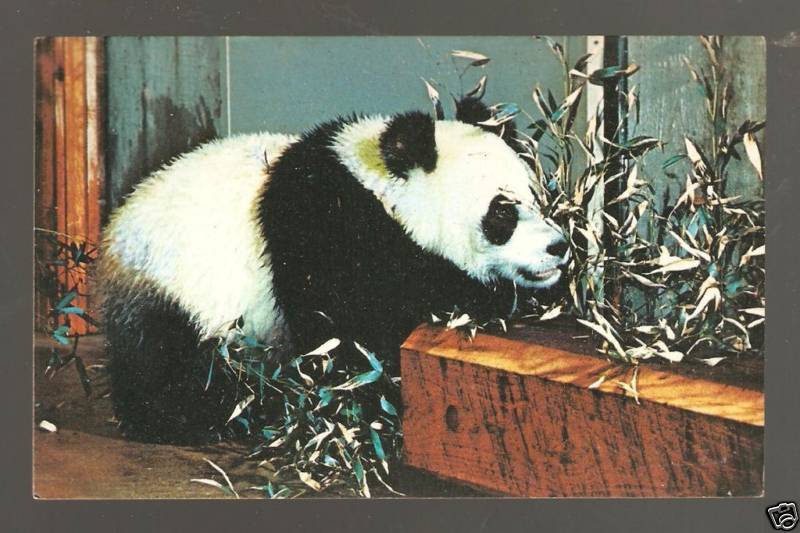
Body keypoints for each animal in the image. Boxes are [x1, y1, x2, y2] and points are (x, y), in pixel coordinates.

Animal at [98, 95, 569, 444]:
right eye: (502, 211)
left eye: (537, 197)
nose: (558, 247)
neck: (379, 189)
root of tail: (111, 239)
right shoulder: (327, 233)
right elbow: (355, 331)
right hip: (178, 287)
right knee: (167, 361)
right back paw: (209, 416)